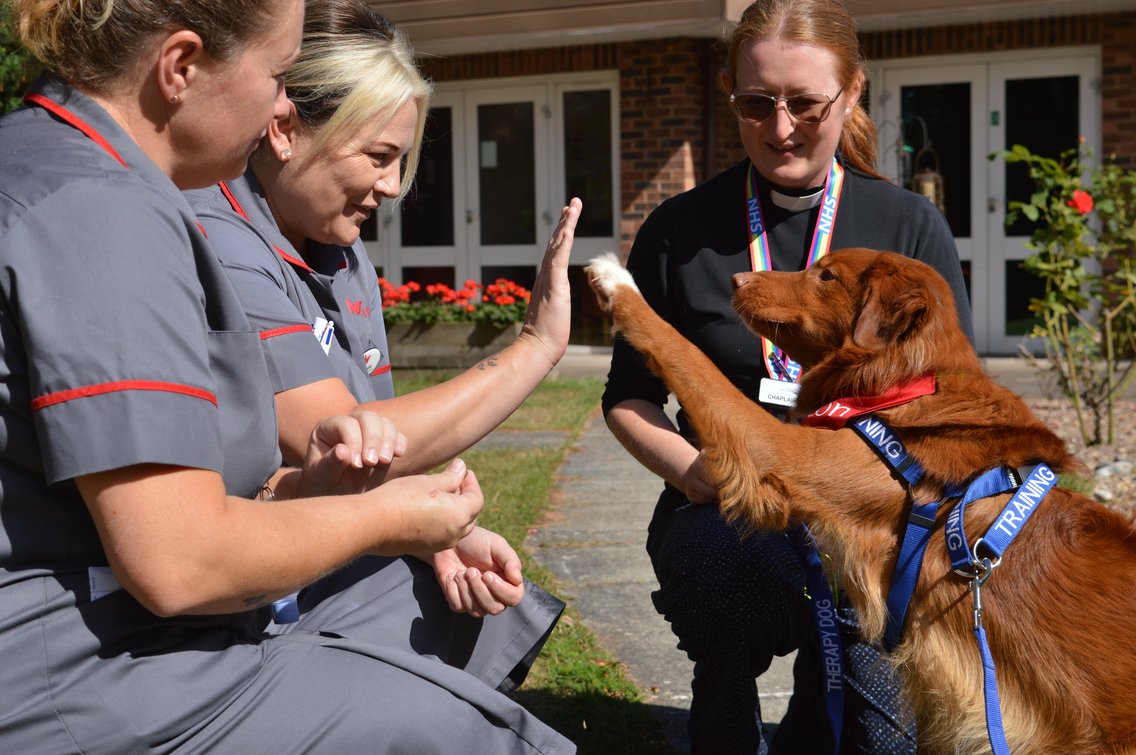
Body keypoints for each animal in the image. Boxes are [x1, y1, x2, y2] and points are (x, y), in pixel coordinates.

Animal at [586, 248, 1136, 753]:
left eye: (826, 275)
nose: (737, 278)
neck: (903, 387)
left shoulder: (784, 451)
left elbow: (689, 357)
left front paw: (618, 282)